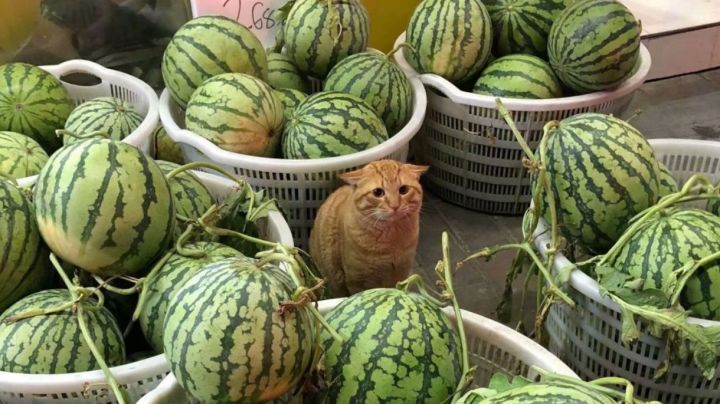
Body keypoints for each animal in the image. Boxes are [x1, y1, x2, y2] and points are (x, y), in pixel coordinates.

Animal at [309, 159, 428, 297]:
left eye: (403, 190)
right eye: (378, 192)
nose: (395, 206)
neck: (390, 241)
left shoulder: (401, 273)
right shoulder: (356, 280)